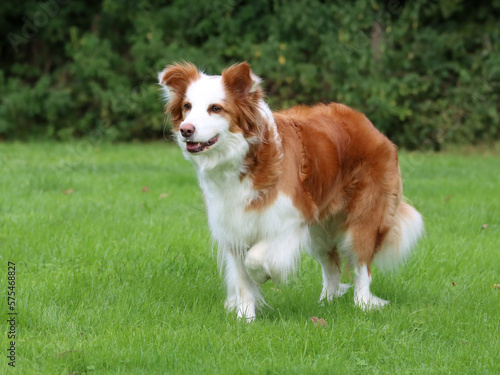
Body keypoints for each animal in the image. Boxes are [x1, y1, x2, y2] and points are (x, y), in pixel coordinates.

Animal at [158, 61, 424, 320]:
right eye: (187, 106)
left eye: (215, 108)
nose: (186, 129)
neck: (243, 157)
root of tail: (368, 124)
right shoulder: (233, 224)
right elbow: (241, 277)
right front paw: (245, 318)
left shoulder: (289, 219)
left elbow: (254, 258)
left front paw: (261, 277)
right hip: (320, 231)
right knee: (332, 264)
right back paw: (325, 304)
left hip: (363, 218)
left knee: (361, 265)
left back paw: (363, 304)